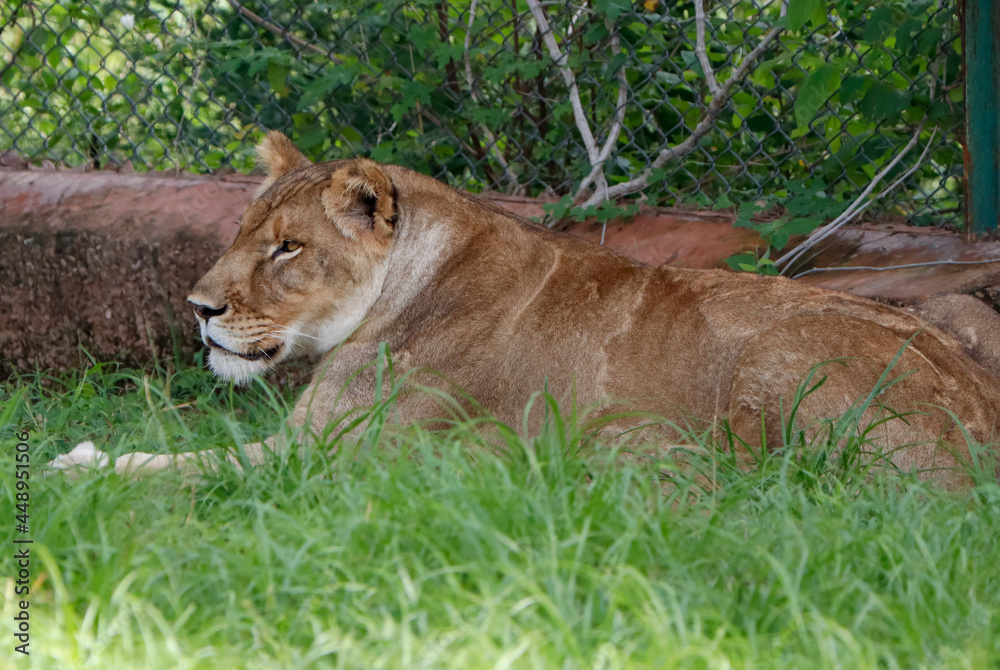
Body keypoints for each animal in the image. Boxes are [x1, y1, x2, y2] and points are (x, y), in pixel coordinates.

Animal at [50, 132, 1000, 488]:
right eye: (244, 232)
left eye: (288, 248)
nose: (198, 307)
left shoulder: (336, 457)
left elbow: (182, 464)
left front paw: (74, 462)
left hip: (787, 358)